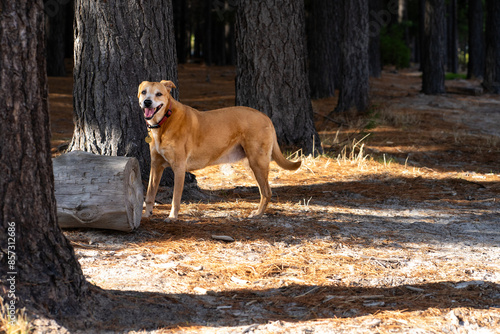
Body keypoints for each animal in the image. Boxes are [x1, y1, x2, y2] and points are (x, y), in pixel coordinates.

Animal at [138, 79, 300, 218]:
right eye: (144, 92)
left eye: (159, 94)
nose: (147, 102)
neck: (165, 121)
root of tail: (266, 117)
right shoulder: (156, 166)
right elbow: (150, 194)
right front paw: (146, 215)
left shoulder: (179, 167)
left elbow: (175, 198)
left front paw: (172, 217)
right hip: (251, 165)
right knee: (265, 190)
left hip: (257, 163)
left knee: (267, 192)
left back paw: (258, 214)